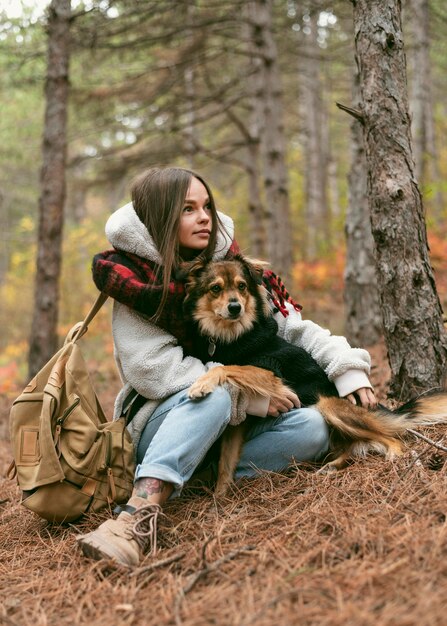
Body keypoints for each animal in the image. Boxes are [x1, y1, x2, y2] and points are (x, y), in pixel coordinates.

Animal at [182, 254, 447, 492]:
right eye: (216, 288)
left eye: (241, 286)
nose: (235, 307)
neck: (232, 335)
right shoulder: (237, 425)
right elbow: (226, 462)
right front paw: (219, 497)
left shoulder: (270, 371)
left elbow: (227, 367)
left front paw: (200, 384)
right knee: (354, 447)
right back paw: (332, 466)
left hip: (329, 406)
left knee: (392, 438)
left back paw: (395, 456)